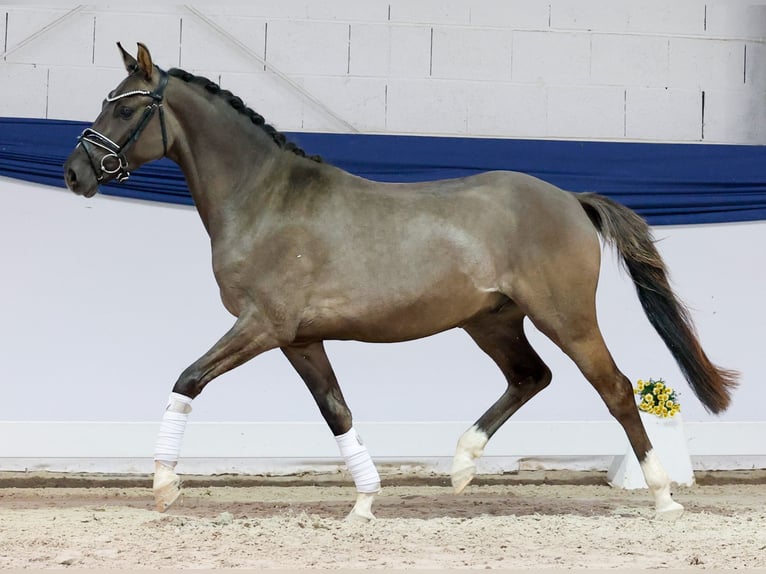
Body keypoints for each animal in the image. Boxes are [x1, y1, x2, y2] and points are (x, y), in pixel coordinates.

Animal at [63, 43, 737, 521]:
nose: (75, 173)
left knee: (616, 389)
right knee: (531, 377)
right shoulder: (298, 339)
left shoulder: (262, 326)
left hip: (566, 317)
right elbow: (336, 410)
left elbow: (188, 380)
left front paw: (163, 485)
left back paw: (663, 496)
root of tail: (571, 200)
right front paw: (364, 502)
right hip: (492, 321)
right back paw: (462, 466)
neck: (264, 198)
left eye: (125, 106)